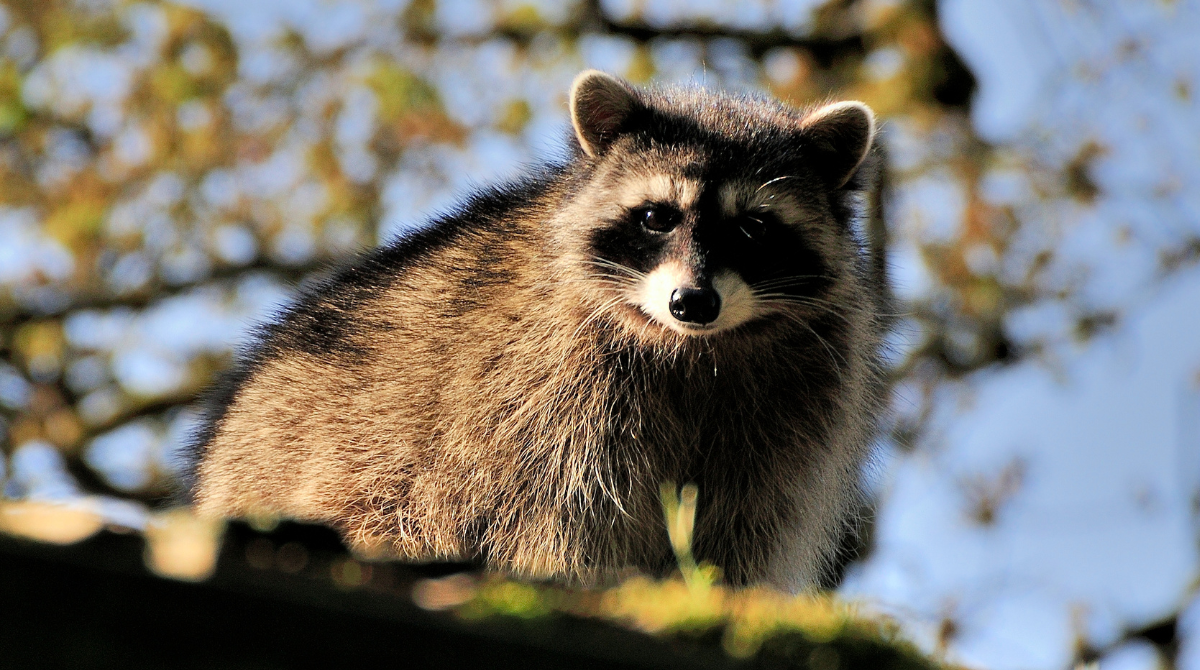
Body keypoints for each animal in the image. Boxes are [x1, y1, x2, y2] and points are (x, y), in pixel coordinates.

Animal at [186, 70, 892, 590]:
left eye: (753, 228)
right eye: (657, 217)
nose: (693, 302)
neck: (695, 349)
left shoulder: (790, 420)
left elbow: (744, 530)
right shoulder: (540, 400)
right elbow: (557, 520)